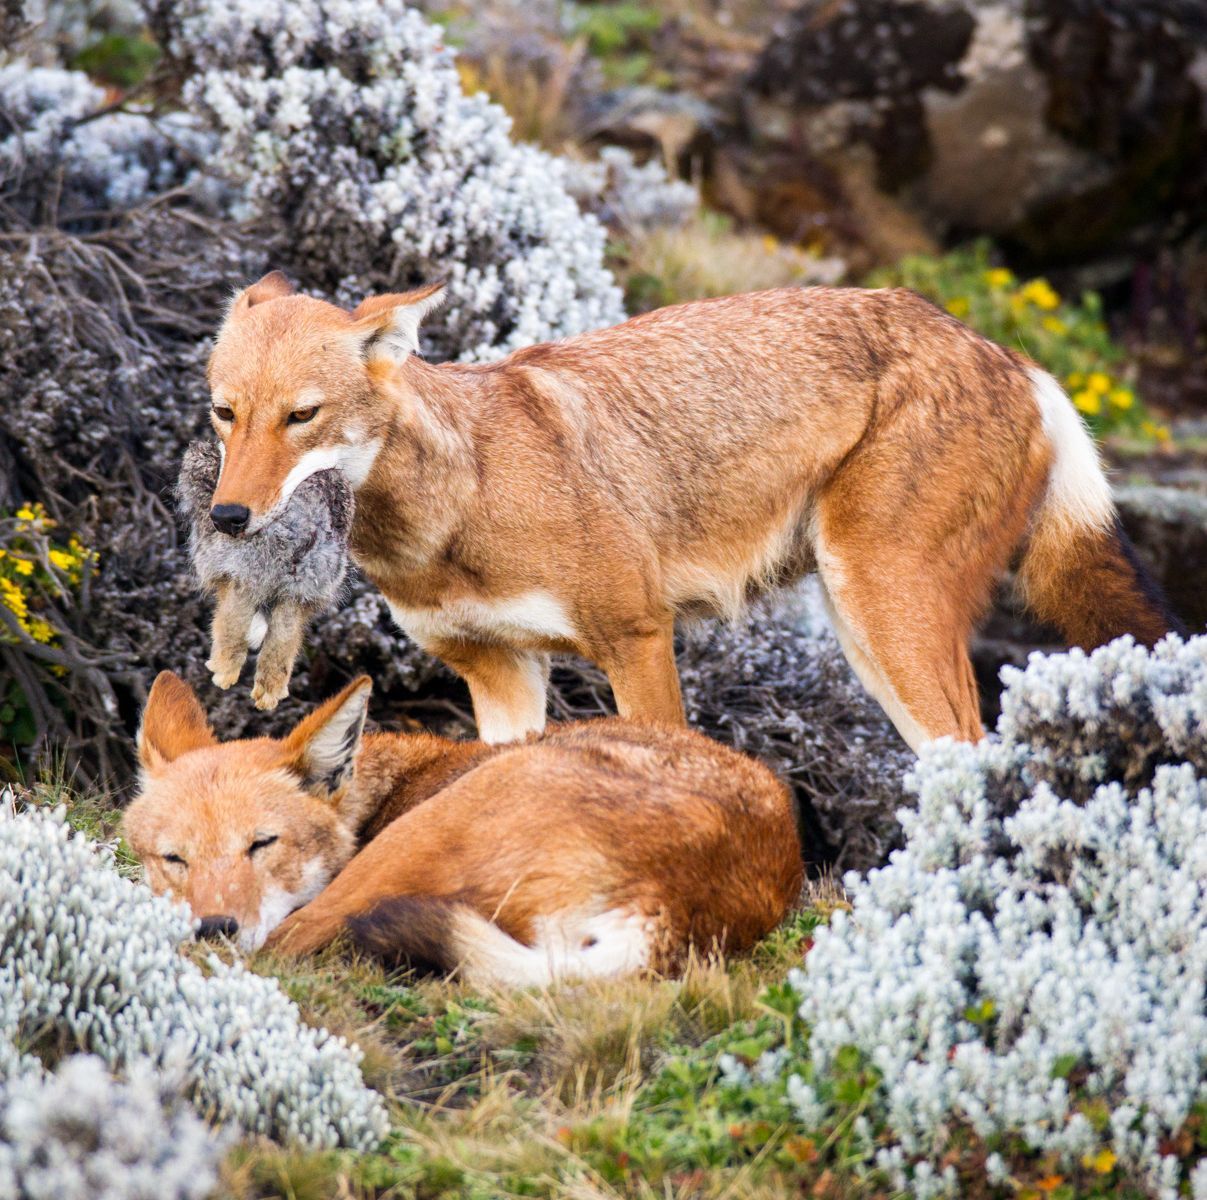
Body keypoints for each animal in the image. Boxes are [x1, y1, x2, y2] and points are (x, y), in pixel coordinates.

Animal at [122, 671, 806, 975]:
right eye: (174, 859)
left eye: (262, 845)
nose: (214, 928)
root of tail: (671, 902)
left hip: (404, 849)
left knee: (294, 942)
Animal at [200, 271, 1178, 748]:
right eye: (224, 412)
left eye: (301, 416)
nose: (228, 519)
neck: (461, 504)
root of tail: (1012, 358)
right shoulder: (500, 672)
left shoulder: (636, 637)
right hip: (867, 636)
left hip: (882, 616)